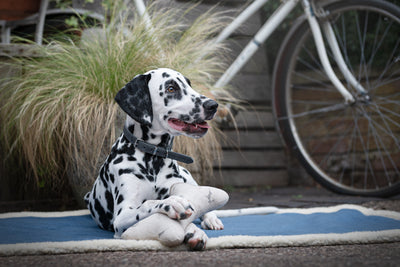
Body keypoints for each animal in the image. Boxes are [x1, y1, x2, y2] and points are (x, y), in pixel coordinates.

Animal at [84, 67, 228, 251]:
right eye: (171, 88)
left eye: (189, 85)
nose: (213, 105)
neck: (153, 160)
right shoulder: (122, 215)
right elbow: (149, 203)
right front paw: (173, 203)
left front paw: (195, 232)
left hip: (187, 177)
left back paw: (211, 219)